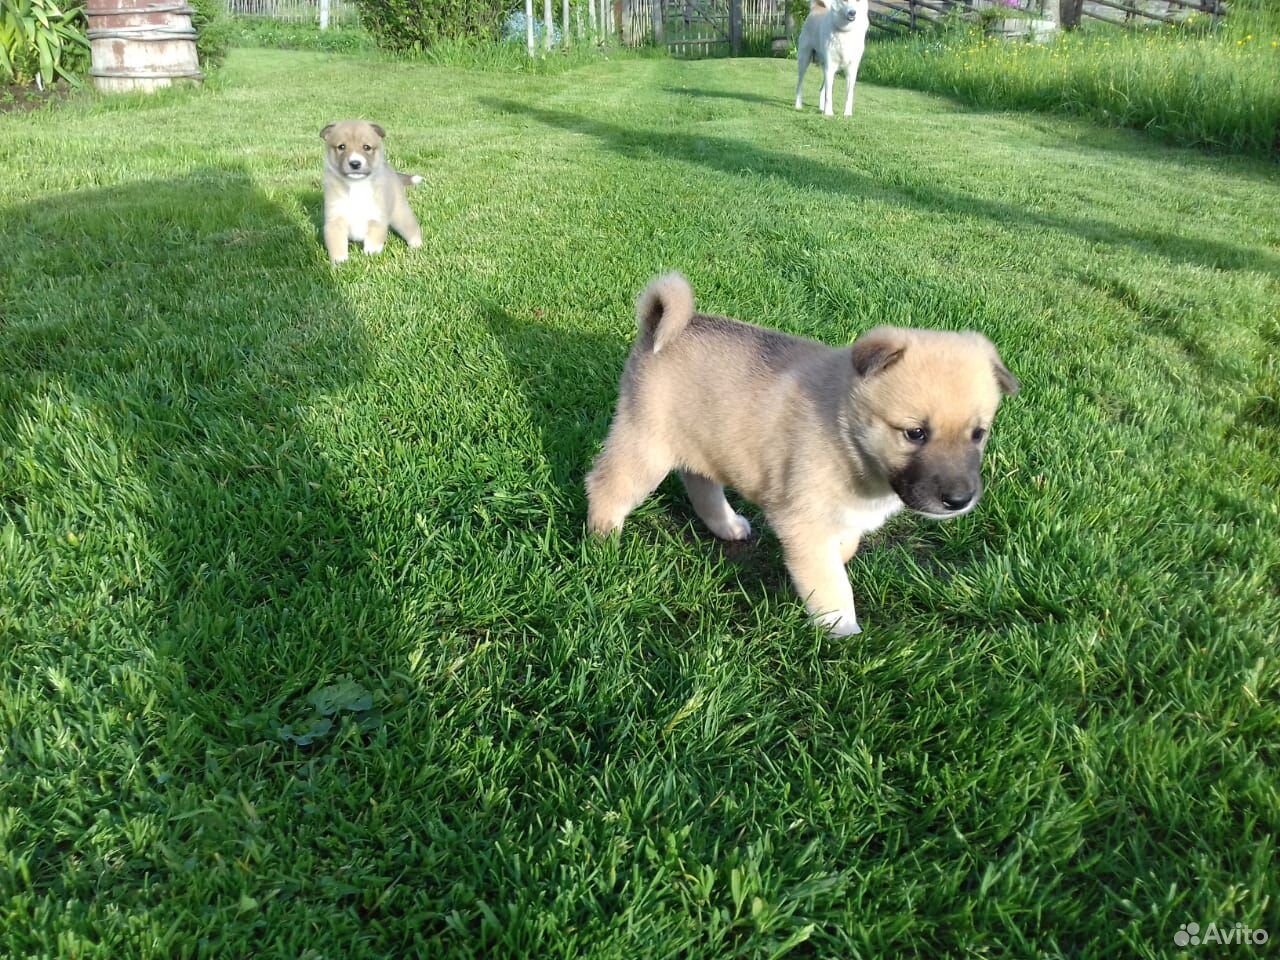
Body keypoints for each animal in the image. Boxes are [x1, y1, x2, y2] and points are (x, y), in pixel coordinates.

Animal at [320, 122, 424, 268]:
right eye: (341, 146)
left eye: (366, 147)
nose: (355, 164)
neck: (356, 185)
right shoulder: (335, 220)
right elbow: (337, 245)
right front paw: (340, 264)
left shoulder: (377, 218)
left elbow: (373, 243)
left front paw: (370, 258)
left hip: (399, 213)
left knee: (411, 227)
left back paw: (416, 246)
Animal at [586, 276, 1018, 640]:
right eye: (915, 433)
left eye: (978, 434)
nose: (959, 501)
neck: (846, 429)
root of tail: (664, 326)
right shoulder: (803, 521)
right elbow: (830, 583)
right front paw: (843, 632)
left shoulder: (843, 518)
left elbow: (843, 549)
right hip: (646, 446)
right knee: (607, 485)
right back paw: (603, 541)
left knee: (700, 482)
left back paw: (727, 525)